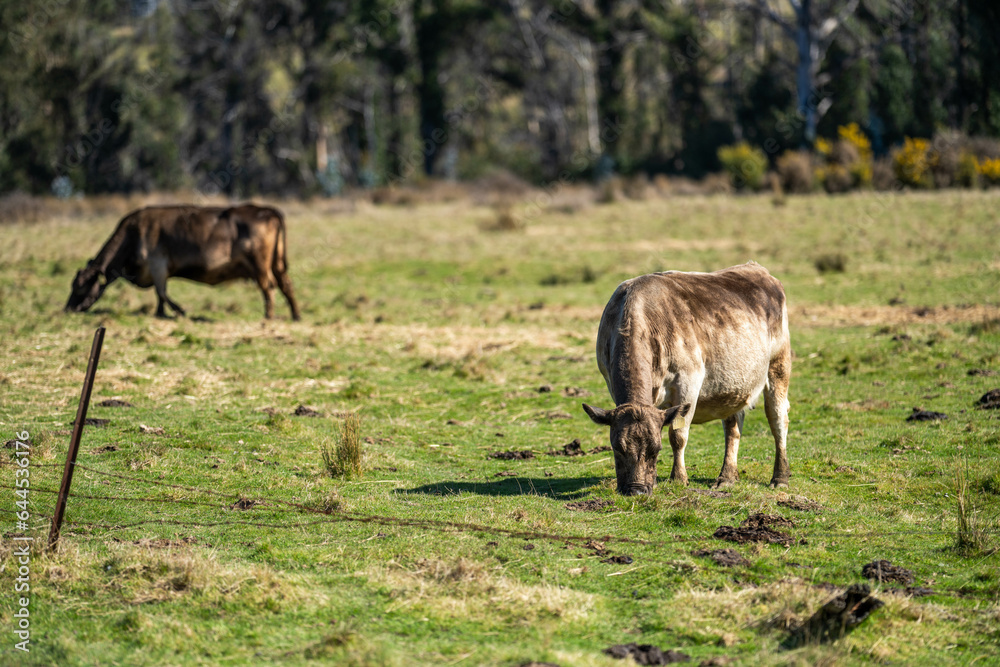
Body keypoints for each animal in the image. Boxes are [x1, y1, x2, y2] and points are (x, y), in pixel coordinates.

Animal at [65, 204, 301, 321]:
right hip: (277, 264)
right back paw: (296, 315)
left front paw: (179, 311)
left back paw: (269, 316)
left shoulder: (157, 265)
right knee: (286, 285)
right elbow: (160, 295)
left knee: (268, 287)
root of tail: (267, 210)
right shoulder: (159, 271)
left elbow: (162, 293)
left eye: (80, 287)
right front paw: (160, 313)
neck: (132, 233)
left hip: (261, 266)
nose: (68, 308)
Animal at [582, 262, 791, 495]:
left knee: (778, 420)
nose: (636, 490)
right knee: (733, 428)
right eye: (617, 448)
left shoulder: (688, 381)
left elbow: (678, 435)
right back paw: (727, 477)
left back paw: (780, 477)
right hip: (733, 386)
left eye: (656, 449)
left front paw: (678, 478)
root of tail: (756, 268)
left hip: (778, 366)